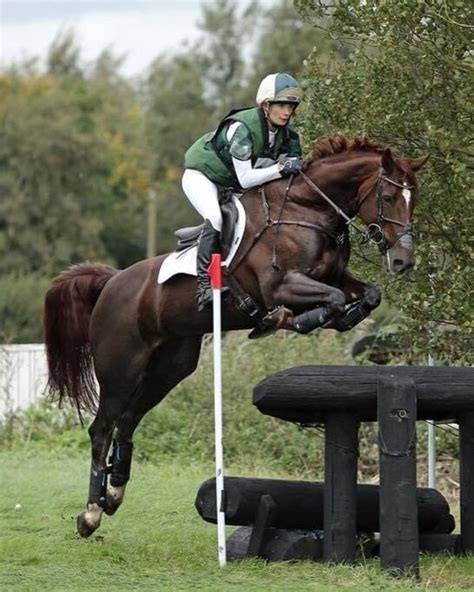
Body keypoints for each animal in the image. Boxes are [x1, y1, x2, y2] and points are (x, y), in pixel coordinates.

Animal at [43, 138, 430, 536]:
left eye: (414, 197)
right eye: (388, 196)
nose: (403, 261)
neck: (308, 209)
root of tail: (113, 281)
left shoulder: (334, 276)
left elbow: (368, 295)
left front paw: (336, 318)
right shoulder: (281, 286)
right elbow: (331, 300)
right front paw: (286, 319)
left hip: (168, 369)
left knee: (127, 421)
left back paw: (114, 495)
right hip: (121, 369)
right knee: (102, 428)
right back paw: (90, 514)